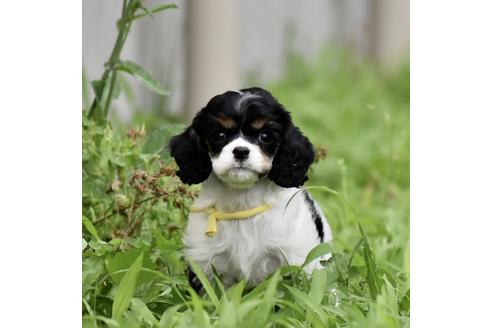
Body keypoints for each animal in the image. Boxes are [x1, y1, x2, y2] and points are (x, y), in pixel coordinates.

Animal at [170, 87, 334, 290]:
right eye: (219, 135)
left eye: (265, 136)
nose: (241, 151)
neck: (242, 201)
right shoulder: (204, 260)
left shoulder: (296, 257)